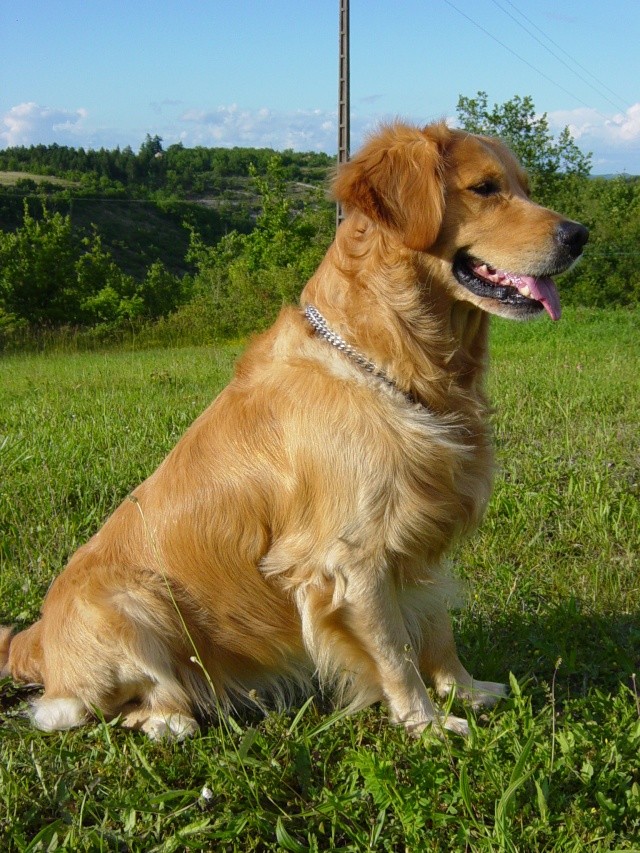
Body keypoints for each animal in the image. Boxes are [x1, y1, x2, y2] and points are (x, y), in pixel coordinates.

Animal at [1, 121, 592, 740]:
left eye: (525, 188)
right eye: (484, 188)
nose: (580, 235)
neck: (392, 358)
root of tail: (35, 644)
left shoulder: (418, 536)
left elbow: (436, 628)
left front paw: (468, 690)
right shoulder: (352, 560)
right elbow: (395, 652)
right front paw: (426, 725)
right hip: (133, 600)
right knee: (89, 706)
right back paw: (171, 718)